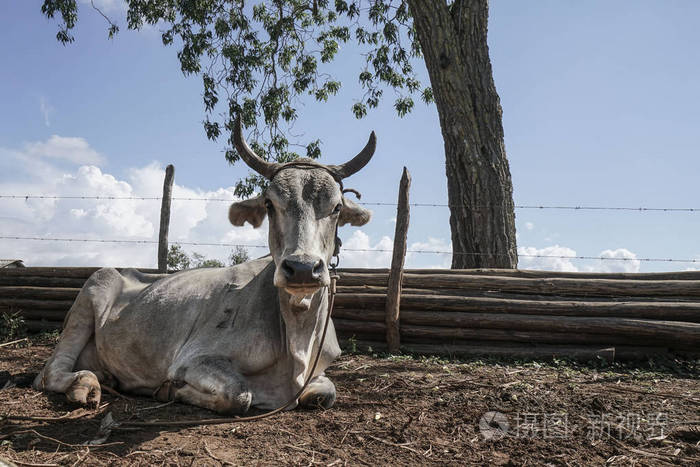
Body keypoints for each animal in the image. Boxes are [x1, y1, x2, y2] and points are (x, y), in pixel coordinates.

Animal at [31, 119, 378, 414]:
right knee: (50, 373)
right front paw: (173, 390)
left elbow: (326, 392)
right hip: (90, 294)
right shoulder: (193, 359)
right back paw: (85, 385)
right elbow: (239, 395)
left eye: (337, 207)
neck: (297, 338)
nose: (303, 268)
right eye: (269, 204)